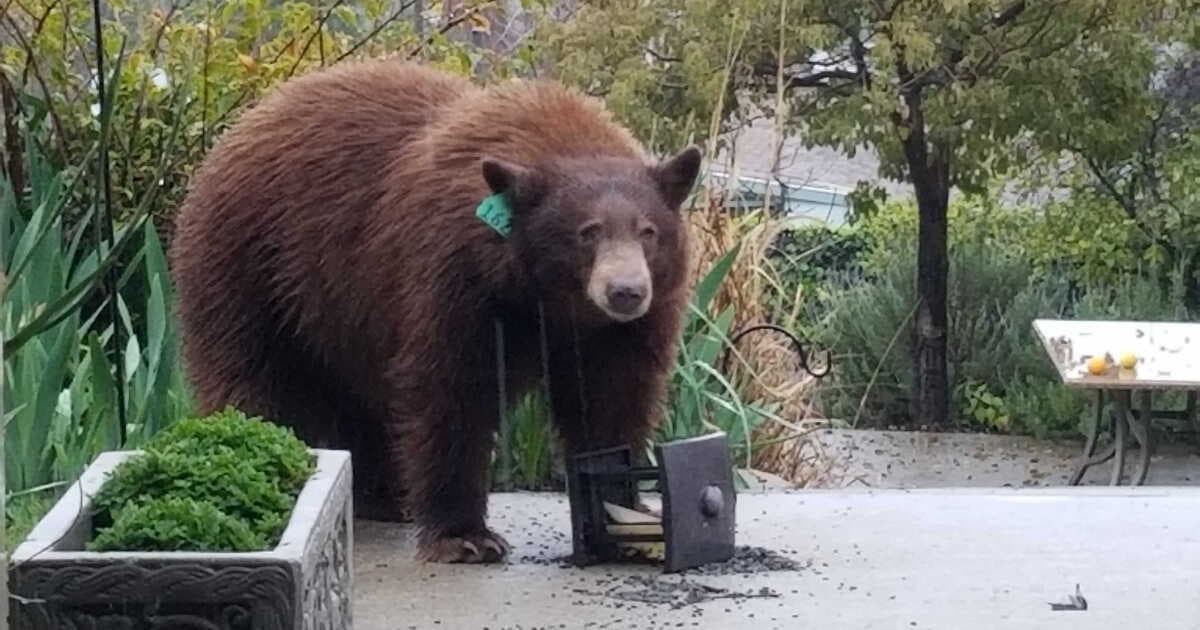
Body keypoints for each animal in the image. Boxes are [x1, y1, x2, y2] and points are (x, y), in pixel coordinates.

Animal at [168, 58, 701, 564]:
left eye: (648, 231)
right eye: (586, 232)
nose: (625, 291)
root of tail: (237, 130)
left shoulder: (626, 326)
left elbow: (612, 399)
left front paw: (624, 511)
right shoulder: (454, 276)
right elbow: (451, 388)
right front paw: (464, 536)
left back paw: (385, 496)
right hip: (255, 268)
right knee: (253, 374)